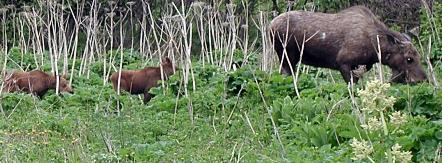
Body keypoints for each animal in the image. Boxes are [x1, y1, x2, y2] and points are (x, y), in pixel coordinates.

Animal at [272, 5, 426, 84]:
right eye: (409, 59)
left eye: (419, 57)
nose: (422, 80)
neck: (375, 48)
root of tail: (270, 25)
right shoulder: (343, 62)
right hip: (286, 57)